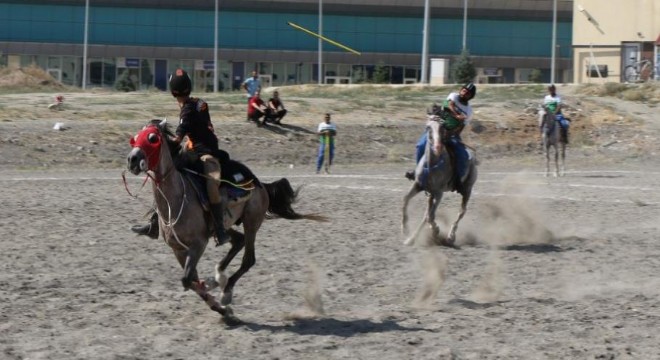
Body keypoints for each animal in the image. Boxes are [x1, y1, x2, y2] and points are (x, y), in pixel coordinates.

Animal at [126, 119, 324, 324]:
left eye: (152, 138)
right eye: (135, 138)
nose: (132, 159)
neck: (176, 199)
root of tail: (261, 184)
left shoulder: (198, 244)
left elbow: (188, 280)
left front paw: (220, 302)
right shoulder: (178, 250)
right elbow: (191, 281)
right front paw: (219, 305)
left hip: (251, 221)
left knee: (248, 259)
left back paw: (226, 291)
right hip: (223, 226)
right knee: (237, 241)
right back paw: (218, 278)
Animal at [402, 118, 480, 248]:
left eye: (443, 128)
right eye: (428, 128)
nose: (437, 147)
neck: (431, 165)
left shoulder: (439, 192)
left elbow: (431, 216)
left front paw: (436, 230)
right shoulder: (418, 185)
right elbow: (406, 200)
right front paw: (405, 229)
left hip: (467, 190)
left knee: (461, 212)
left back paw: (450, 237)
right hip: (430, 194)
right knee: (427, 215)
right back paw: (412, 239)